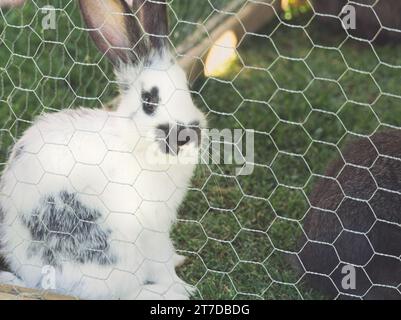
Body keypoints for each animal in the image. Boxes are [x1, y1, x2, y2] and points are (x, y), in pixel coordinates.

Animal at [0, 0, 206, 300]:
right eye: (149, 100)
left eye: (188, 90)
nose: (190, 133)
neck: (133, 144)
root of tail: (31, 278)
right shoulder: (151, 231)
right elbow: (162, 265)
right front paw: (182, 287)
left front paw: (179, 263)